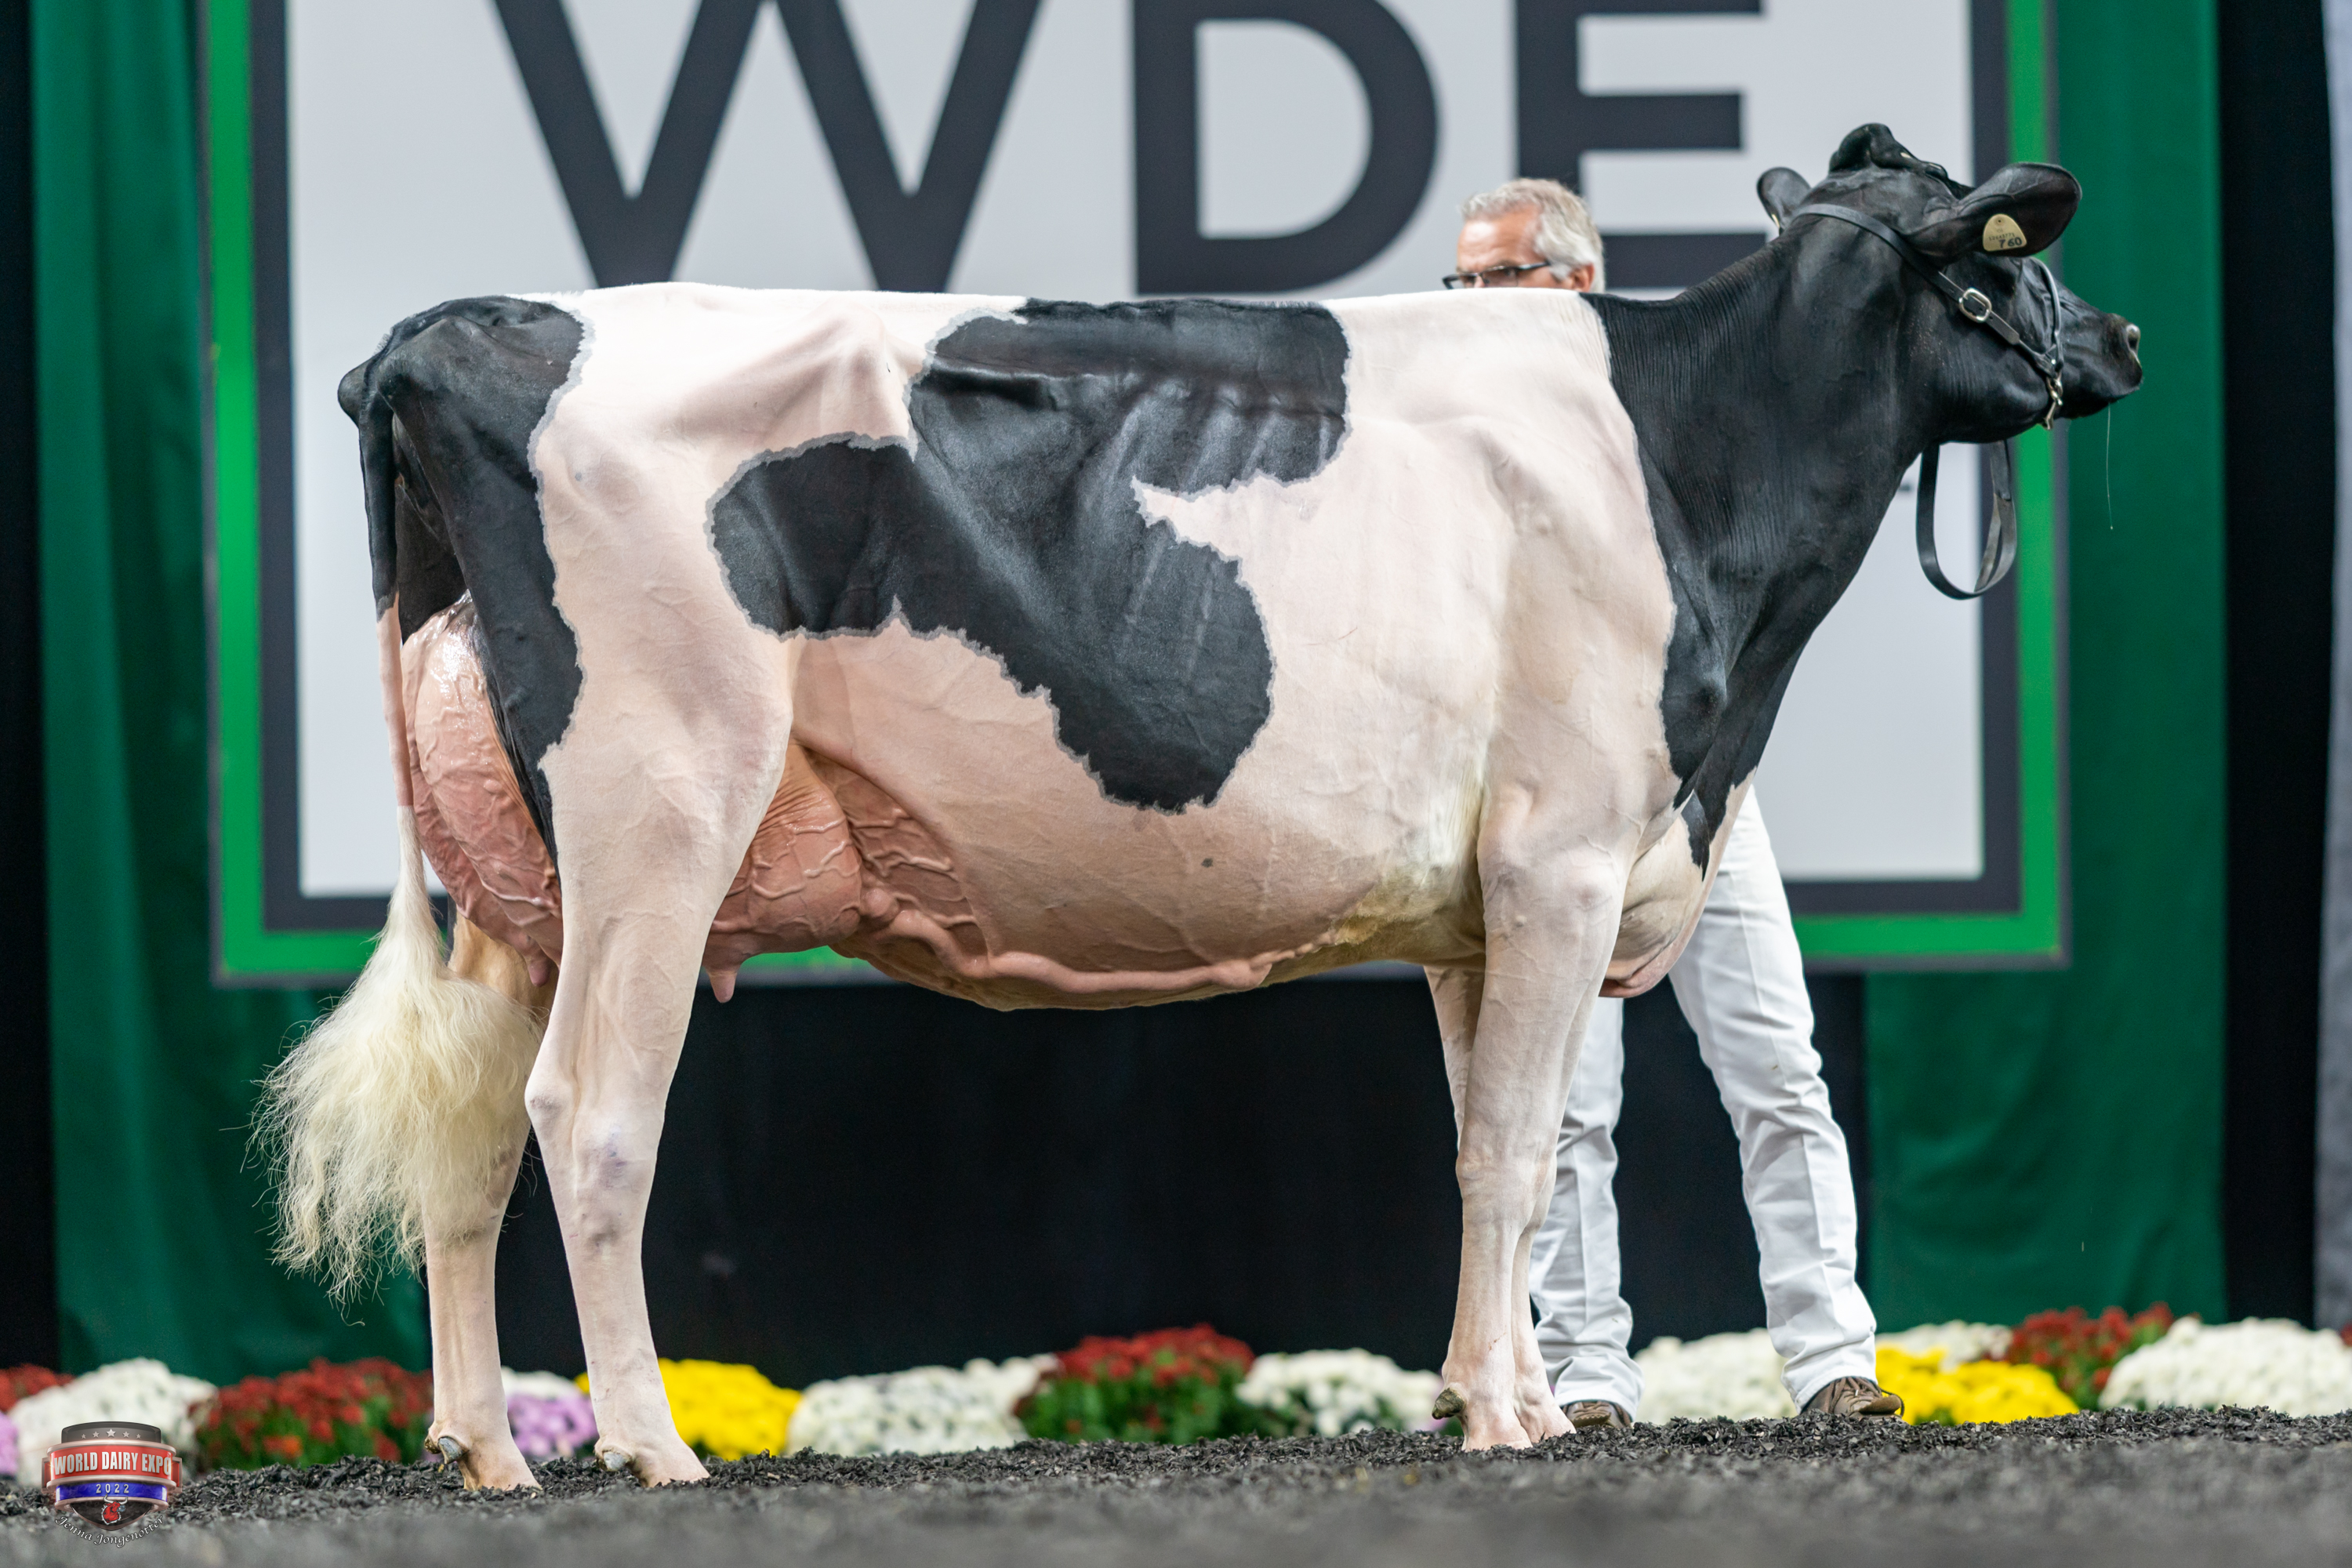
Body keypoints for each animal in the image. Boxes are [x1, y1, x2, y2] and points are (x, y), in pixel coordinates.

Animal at [264, 125, 2140, 1486]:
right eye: (2016, 253)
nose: (2122, 336)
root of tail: (449, 331)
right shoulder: (1564, 854)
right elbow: (1516, 1149)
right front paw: (1507, 1417)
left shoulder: (1480, 905)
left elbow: (1508, 1151)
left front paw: (1516, 1400)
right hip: (657, 811)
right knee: (589, 1116)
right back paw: (651, 1448)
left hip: (512, 887)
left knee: (466, 1143)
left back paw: (488, 1449)